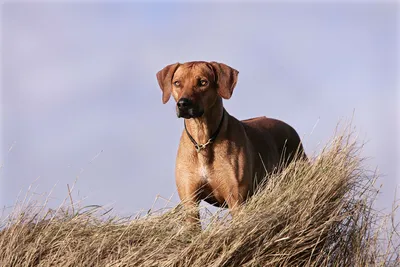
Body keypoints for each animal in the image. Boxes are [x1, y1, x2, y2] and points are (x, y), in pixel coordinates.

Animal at [156, 60, 306, 224]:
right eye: (177, 83)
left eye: (203, 82)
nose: (183, 104)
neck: (203, 140)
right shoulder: (190, 201)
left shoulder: (236, 199)